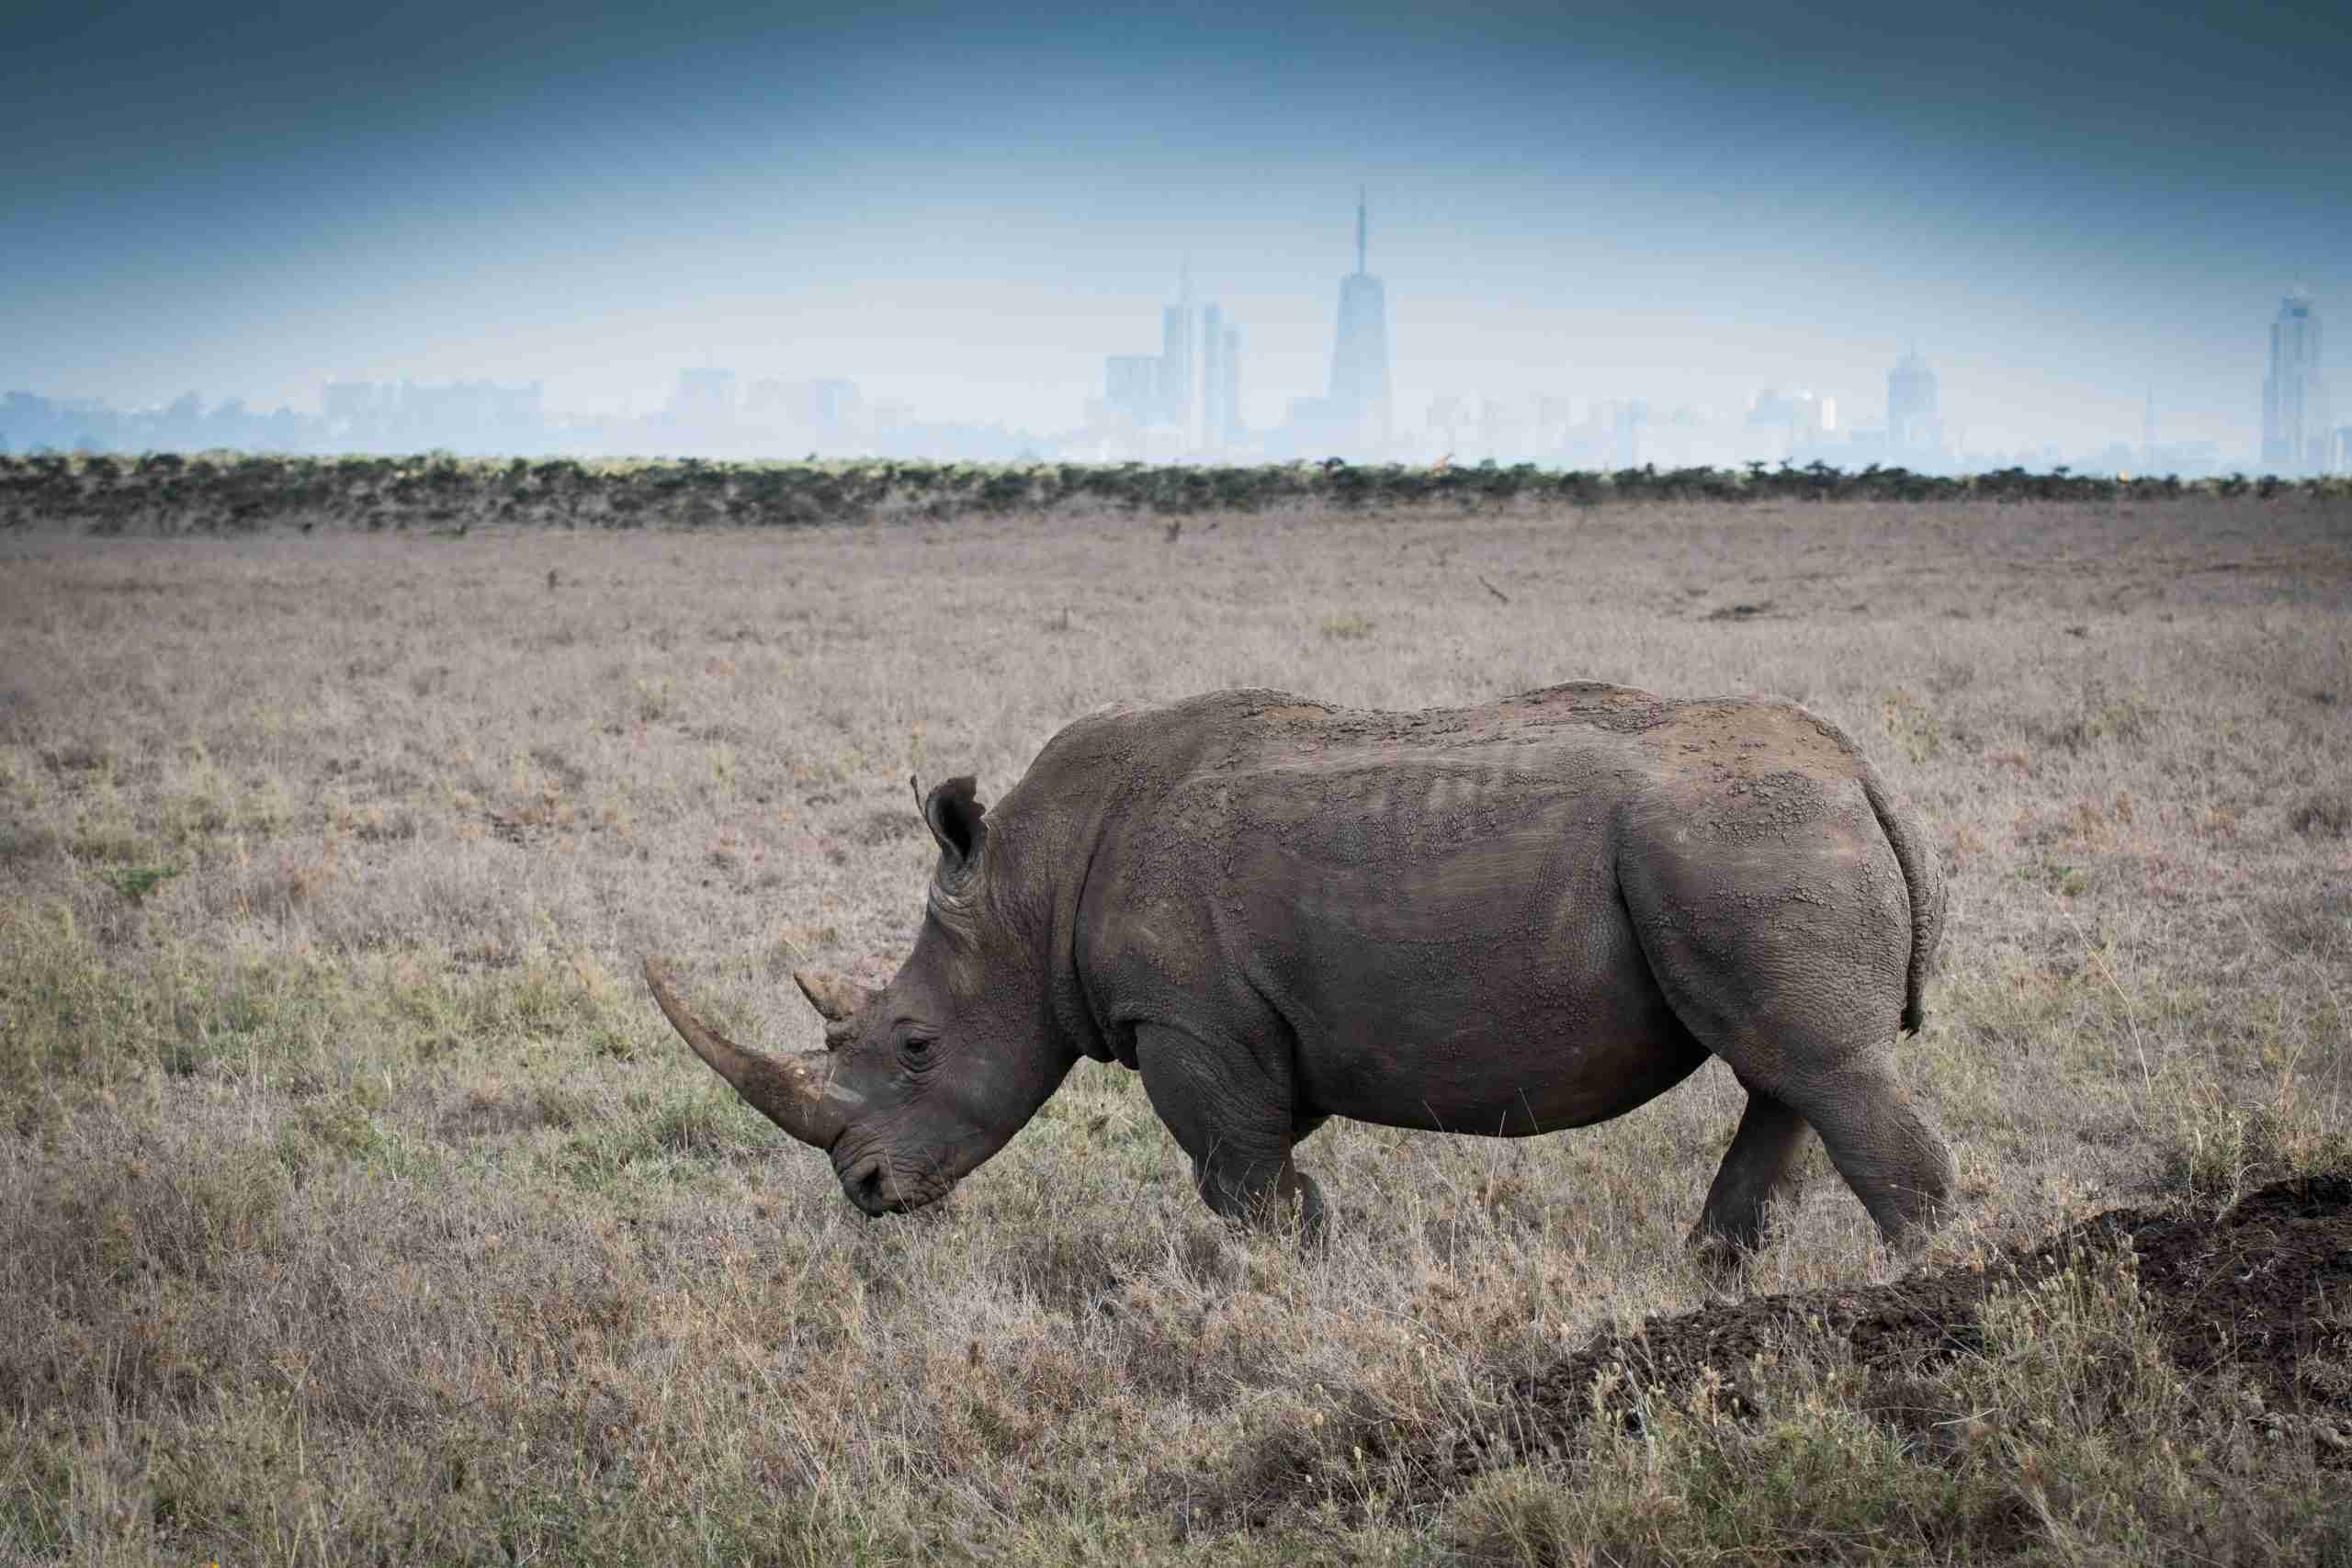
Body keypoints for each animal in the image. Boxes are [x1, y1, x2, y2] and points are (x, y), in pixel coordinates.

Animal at [645, 682, 1955, 1254]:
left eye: (915, 1044)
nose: (866, 1190)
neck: (1026, 885)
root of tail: (1857, 770)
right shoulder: (1241, 1026)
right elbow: (1253, 1154)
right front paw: (1326, 1245)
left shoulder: (1187, 1021)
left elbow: (1236, 1174)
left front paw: (1309, 1259)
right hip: (1745, 843)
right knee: (1785, 1062)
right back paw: (1714, 1274)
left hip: (1742, 839)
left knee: (1815, 1064)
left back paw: (1918, 1290)